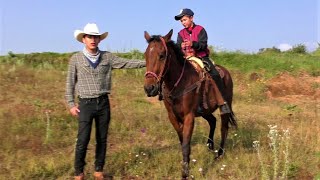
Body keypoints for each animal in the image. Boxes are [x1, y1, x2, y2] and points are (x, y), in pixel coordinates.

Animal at [144, 29, 236, 179]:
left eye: (162, 56)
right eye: (146, 55)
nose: (149, 88)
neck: (179, 83)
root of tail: (226, 72)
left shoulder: (189, 116)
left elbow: (186, 144)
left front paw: (185, 173)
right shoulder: (173, 117)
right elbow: (182, 140)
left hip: (225, 106)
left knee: (224, 128)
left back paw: (219, 154)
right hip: (204, 110)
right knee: (213, 121)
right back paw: (210, 146)